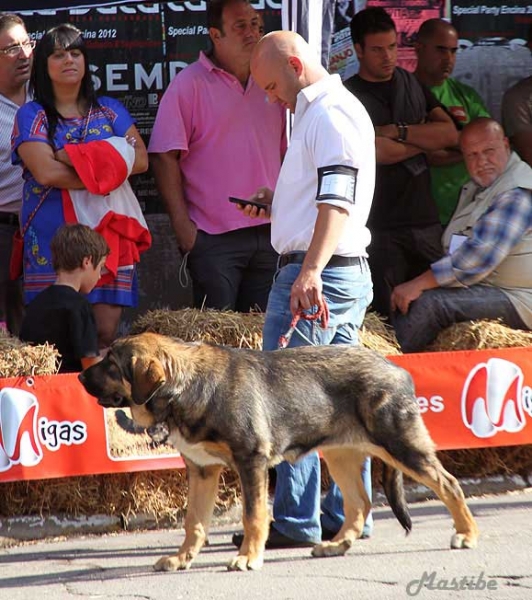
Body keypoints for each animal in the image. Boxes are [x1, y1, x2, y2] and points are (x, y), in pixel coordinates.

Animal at [78, 332, 478, 572]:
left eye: (112, 364)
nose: (80, 377)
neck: (183, 386)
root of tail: (397, 368)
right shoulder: (202, 470)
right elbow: (194, 522)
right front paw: (181, 559)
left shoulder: (250, 461)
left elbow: (253, 516)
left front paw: (247, 557)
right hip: (342, 454)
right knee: (360, 503)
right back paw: (336, 545)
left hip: (401, 444)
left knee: (449, 484)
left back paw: (467, 535)